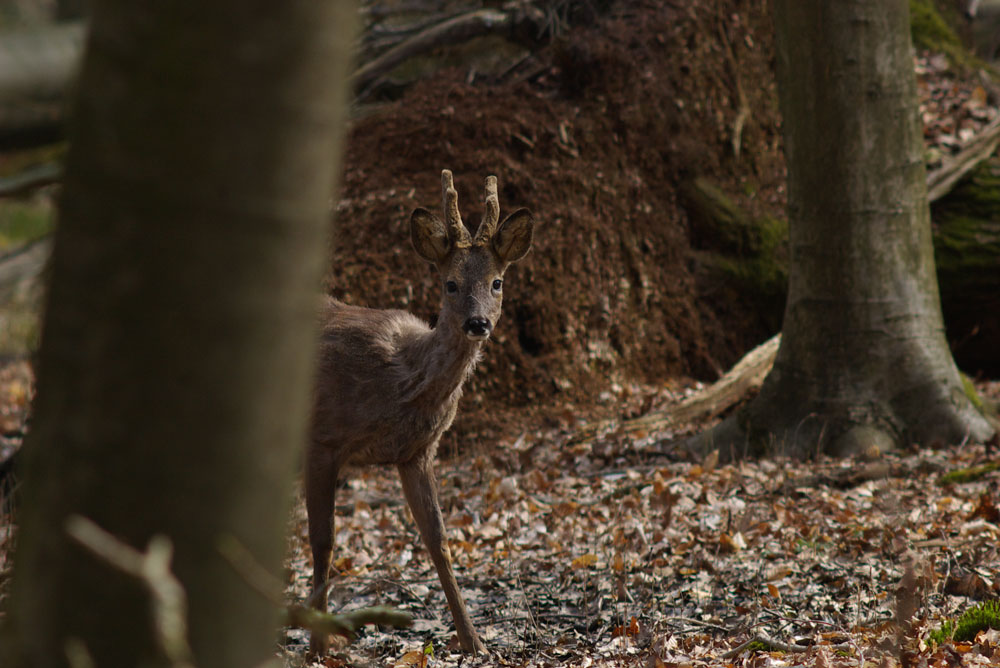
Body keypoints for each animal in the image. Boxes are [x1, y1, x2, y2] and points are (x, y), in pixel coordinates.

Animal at [306, 170, 536, 656]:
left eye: (497, 282)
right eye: (450, 283)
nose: (478, 323)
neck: (400, 377)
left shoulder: (416, 452)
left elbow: (439, 540)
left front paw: (473, 641)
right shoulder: (322, 436)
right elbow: (324, 541)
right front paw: (317, 648)